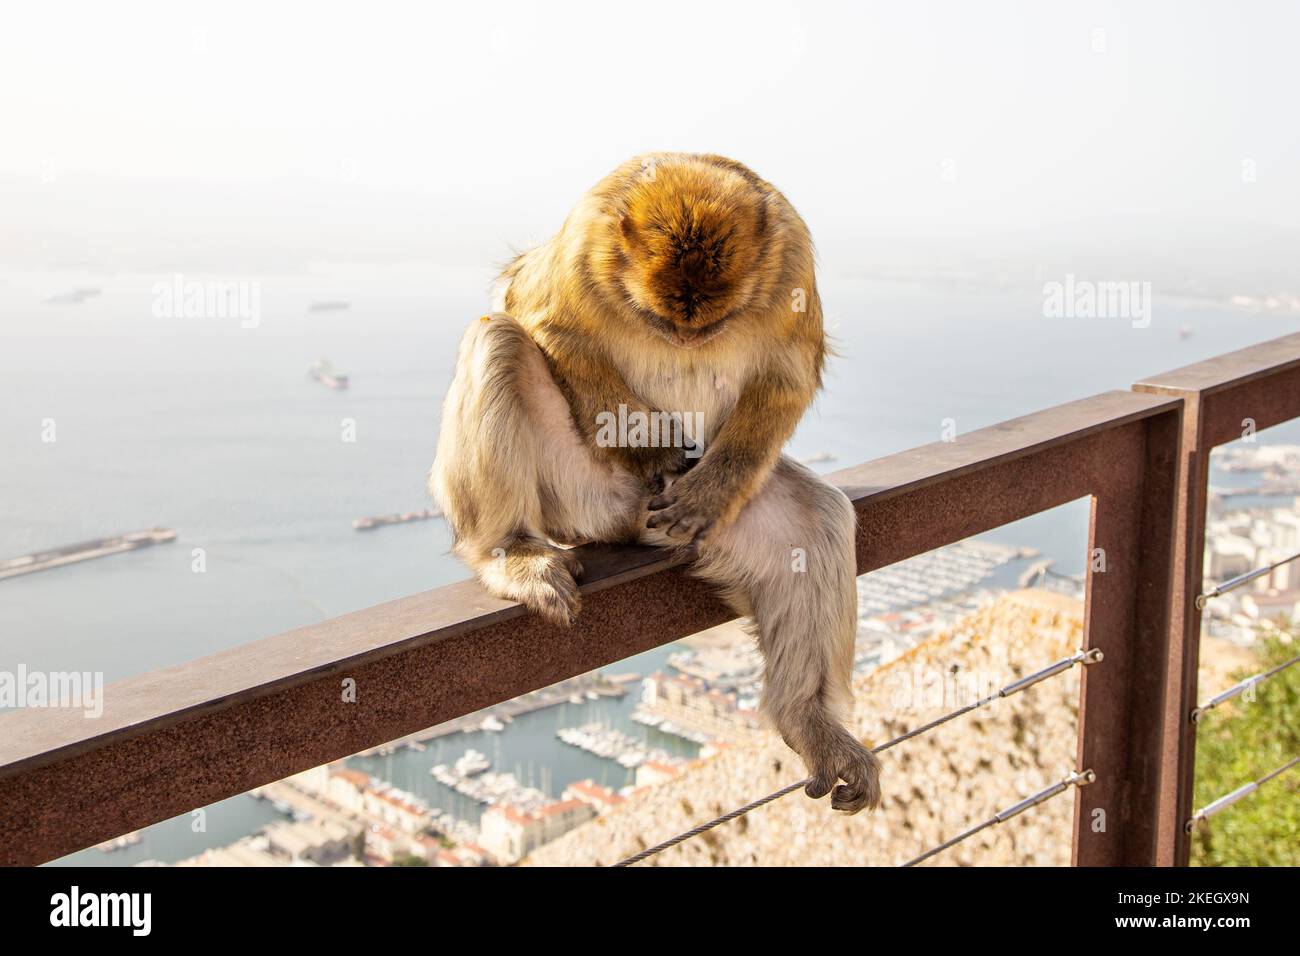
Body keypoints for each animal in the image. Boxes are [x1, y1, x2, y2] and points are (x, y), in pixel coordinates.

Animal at [431, 153, 878, 811]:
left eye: (715, 320)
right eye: (660, 317)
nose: (688, 339)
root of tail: (624, 520)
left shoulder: (793, 258)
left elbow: (786, 376)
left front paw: (707, 492)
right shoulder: (582, 243)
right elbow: (539, 316)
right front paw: (656, 450)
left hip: (714, 516)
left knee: (816, 525)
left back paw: (808, 720)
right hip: (577, 492)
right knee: (500, 337)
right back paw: (508, 549)